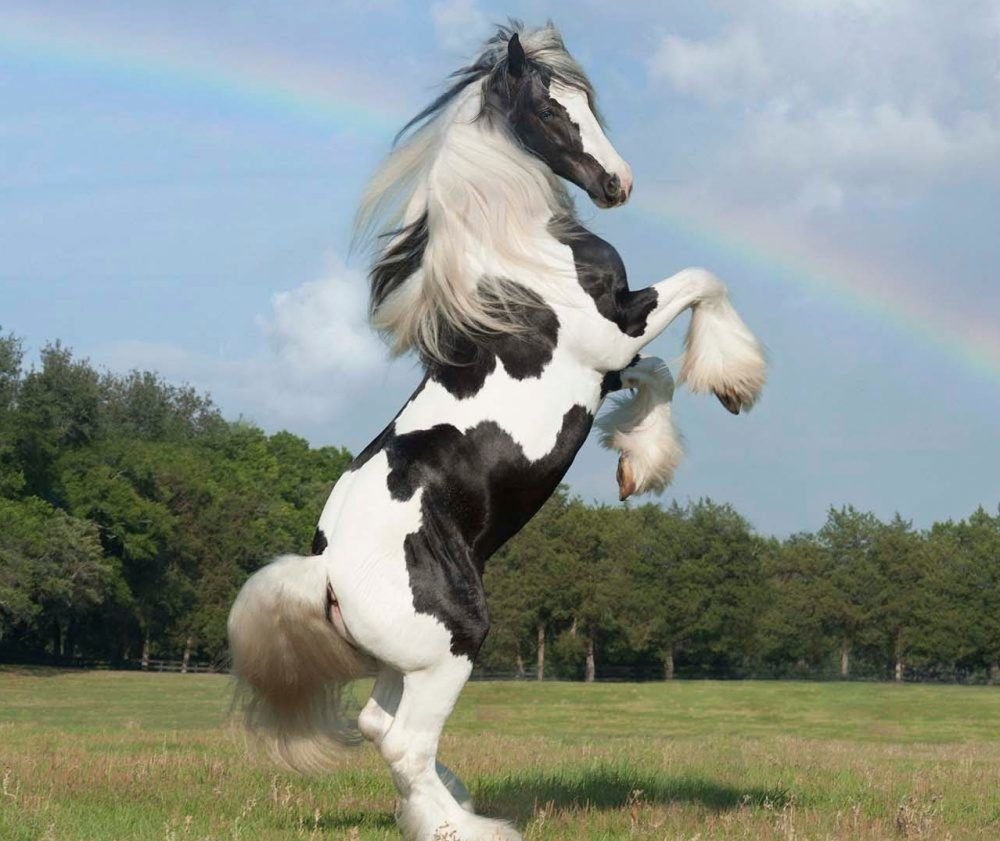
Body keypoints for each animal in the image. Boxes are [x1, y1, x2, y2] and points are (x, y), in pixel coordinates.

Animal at [228, 23, 766, 841]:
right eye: (548, 109)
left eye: (587, 100)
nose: (618, 184)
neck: (518, 260)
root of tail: (323, 573)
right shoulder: (613, 332)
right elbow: (704, 281)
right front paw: (736, 378)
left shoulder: (611, 365)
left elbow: (659, 376)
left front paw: (639, 462)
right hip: (452, 643)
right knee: (406, 741)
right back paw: (466, 828)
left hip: (406, 662)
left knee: (383, 729)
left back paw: (455, 809)